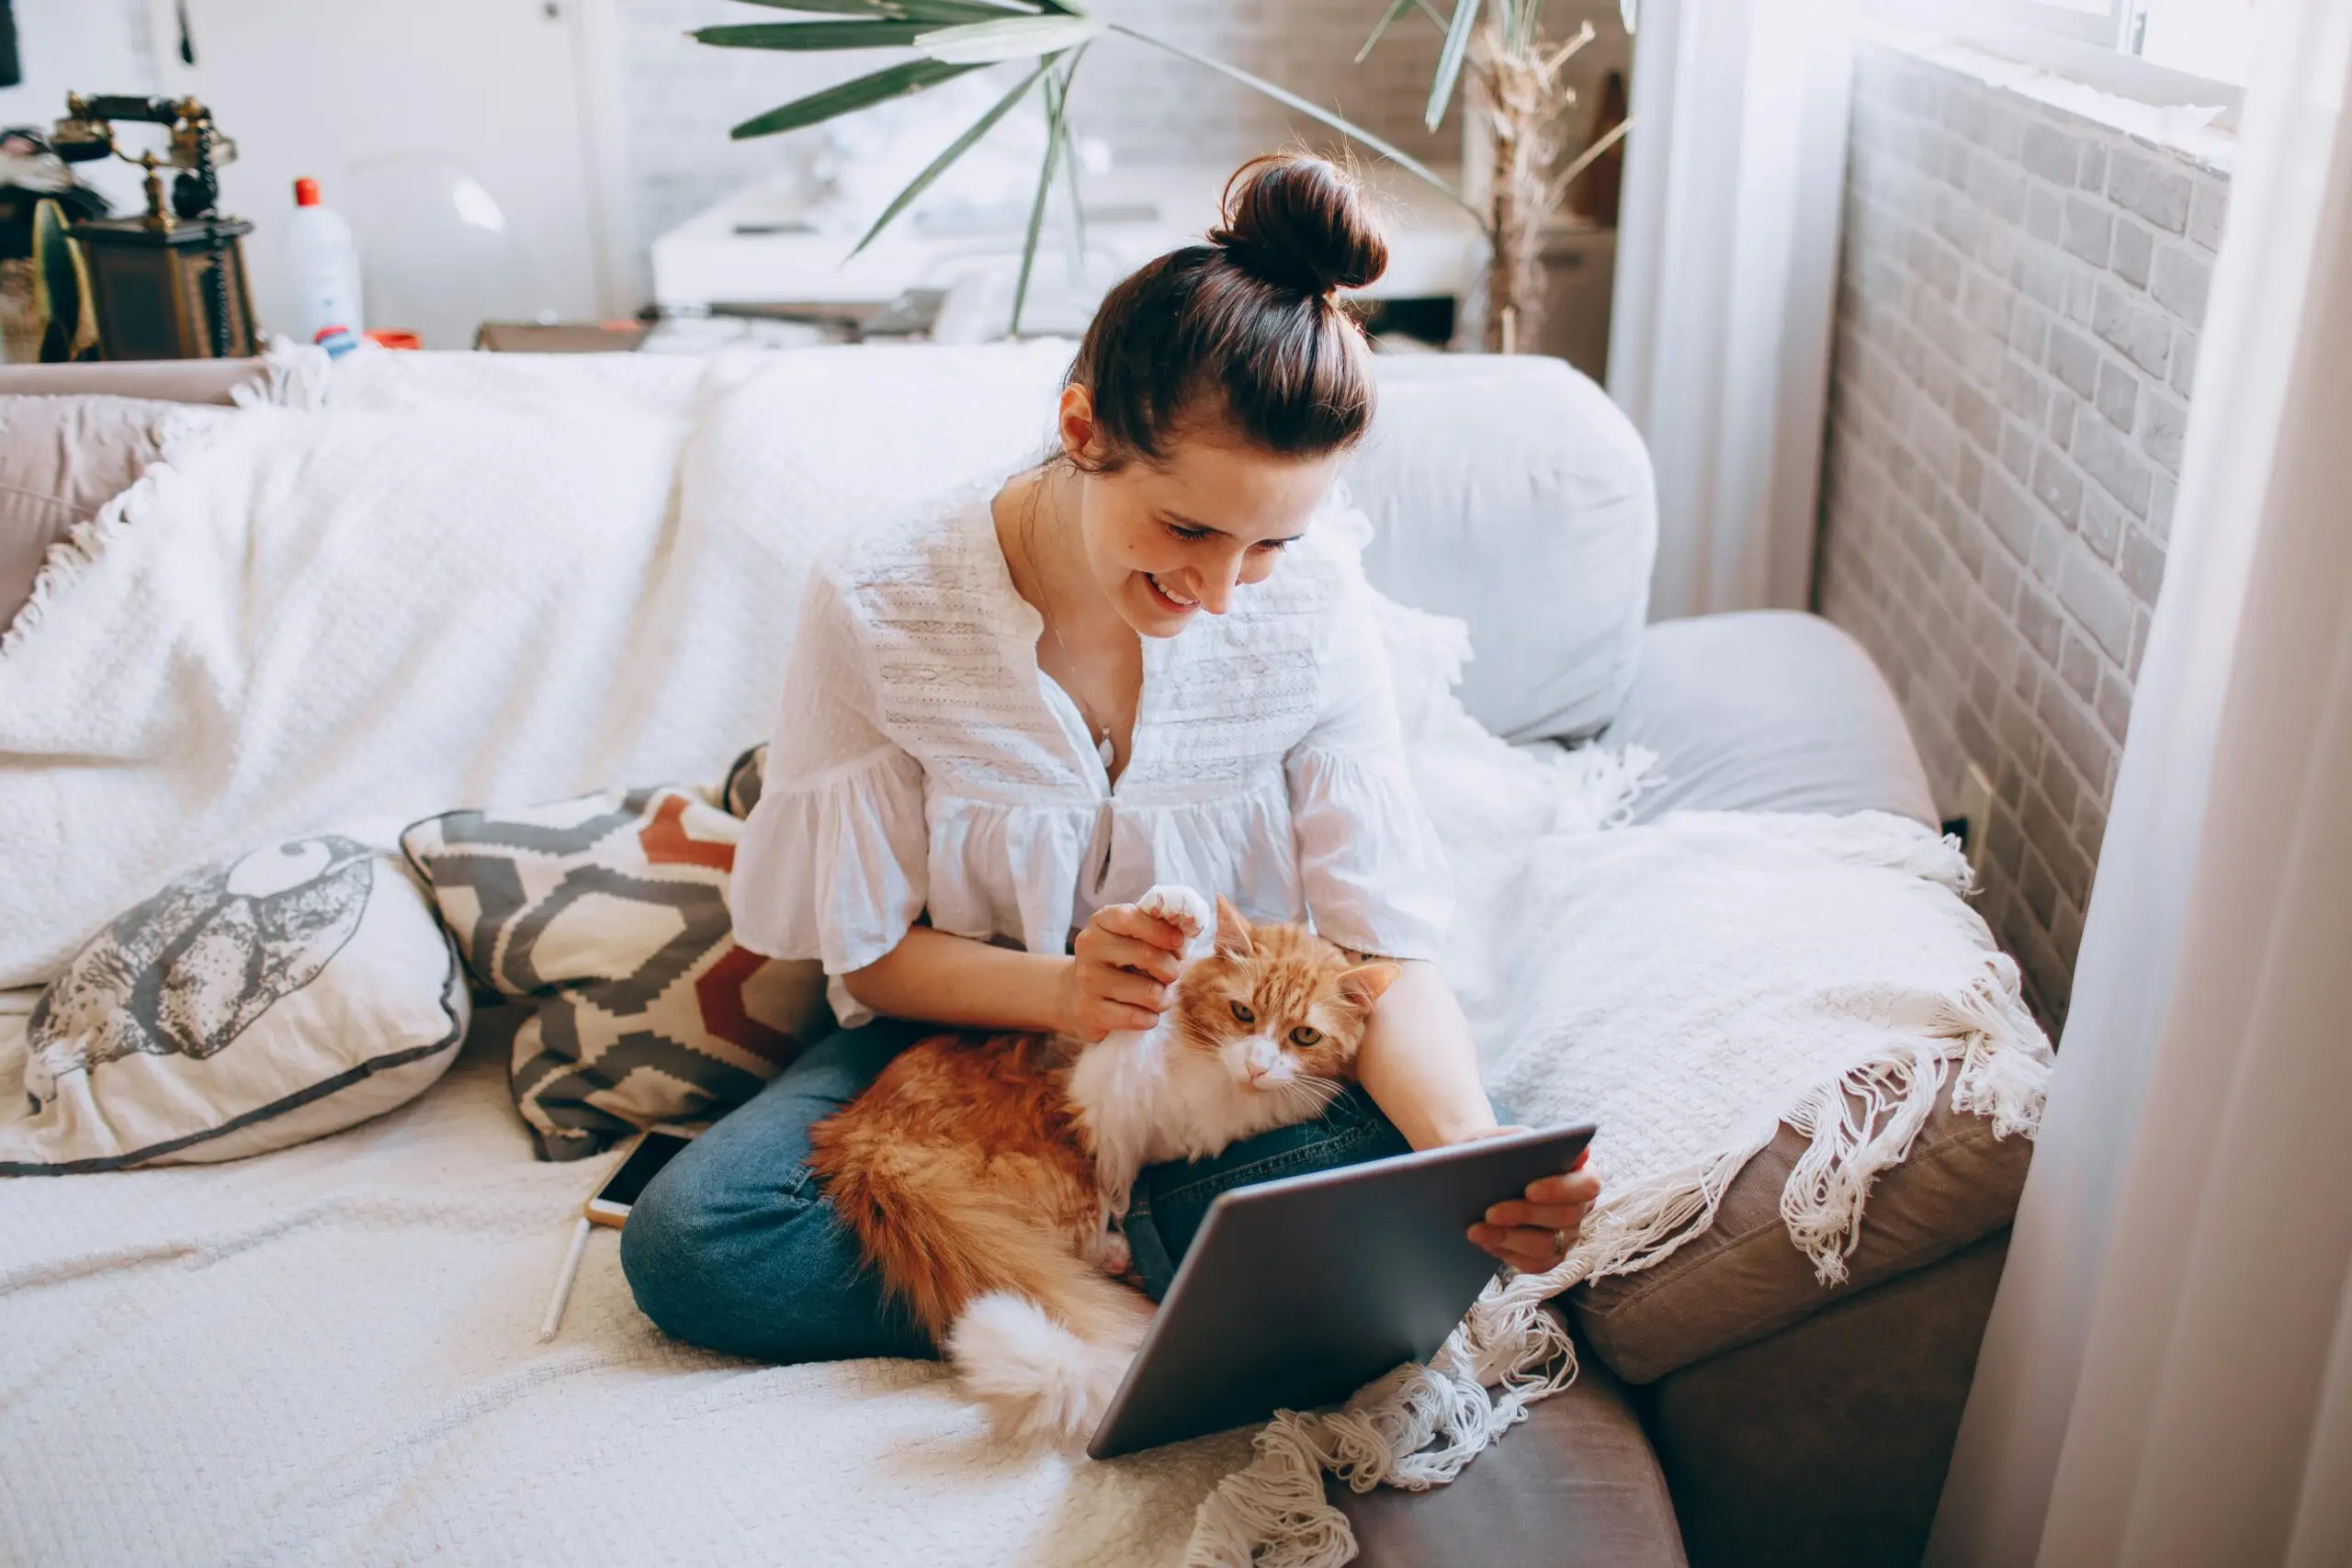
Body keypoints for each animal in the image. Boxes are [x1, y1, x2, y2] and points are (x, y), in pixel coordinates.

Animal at [808, 888, 1392, 1457]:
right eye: (1243, 1013)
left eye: (1304, 1036)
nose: (1257, 1066)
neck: (1220, 1092)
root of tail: (866, 1135)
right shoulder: (1105, 1082)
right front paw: (1176, 910)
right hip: (1056, 1169)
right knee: (1070, 1236)